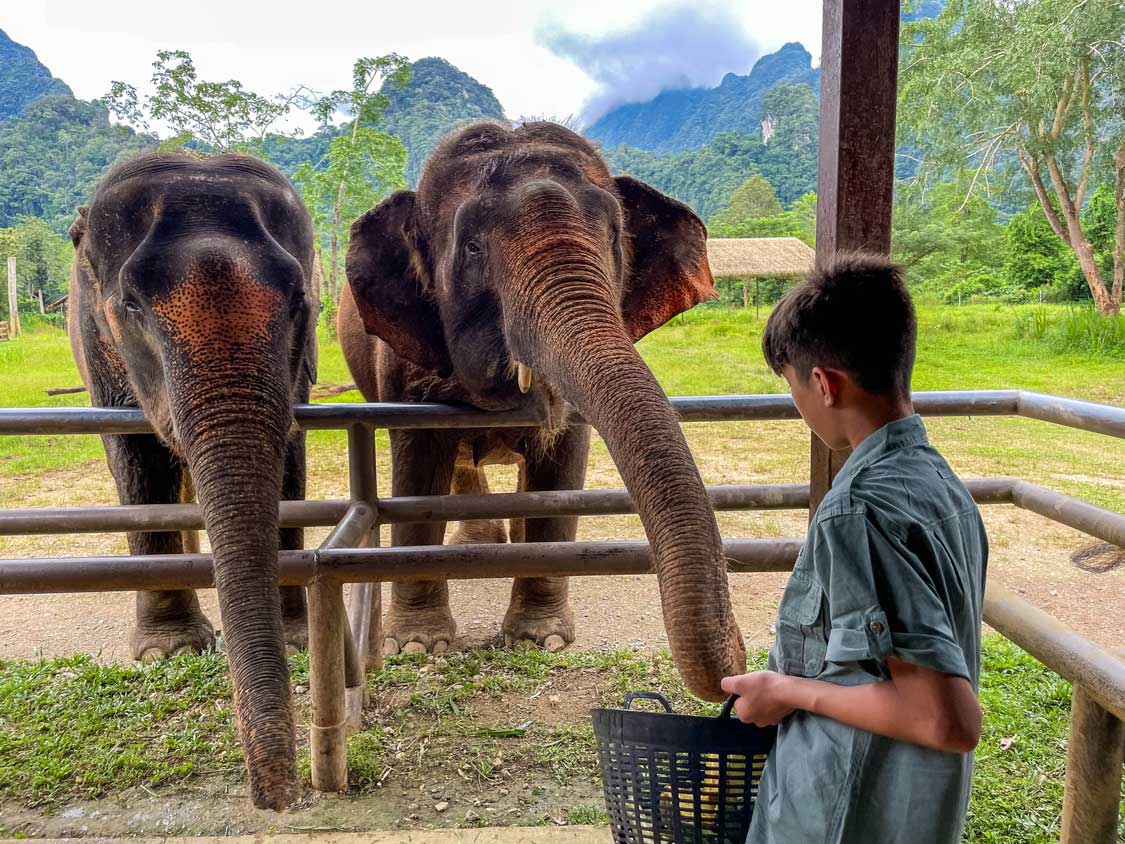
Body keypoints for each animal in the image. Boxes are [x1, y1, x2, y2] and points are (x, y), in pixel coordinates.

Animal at [68, 154, 317, 814]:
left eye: (301, 302)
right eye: (130, 304)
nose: (278, 800)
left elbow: (289, 455)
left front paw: (295, 640)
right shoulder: (99, 352)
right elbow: (138, 461)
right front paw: (170, 652)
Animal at [342, 119, 747, 702]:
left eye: (613, 236)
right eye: (472, 247)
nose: (739, 658)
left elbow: (560, 469)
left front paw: (541, 639)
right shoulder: (398, 368)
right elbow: (417, 471)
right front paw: (418, 646)